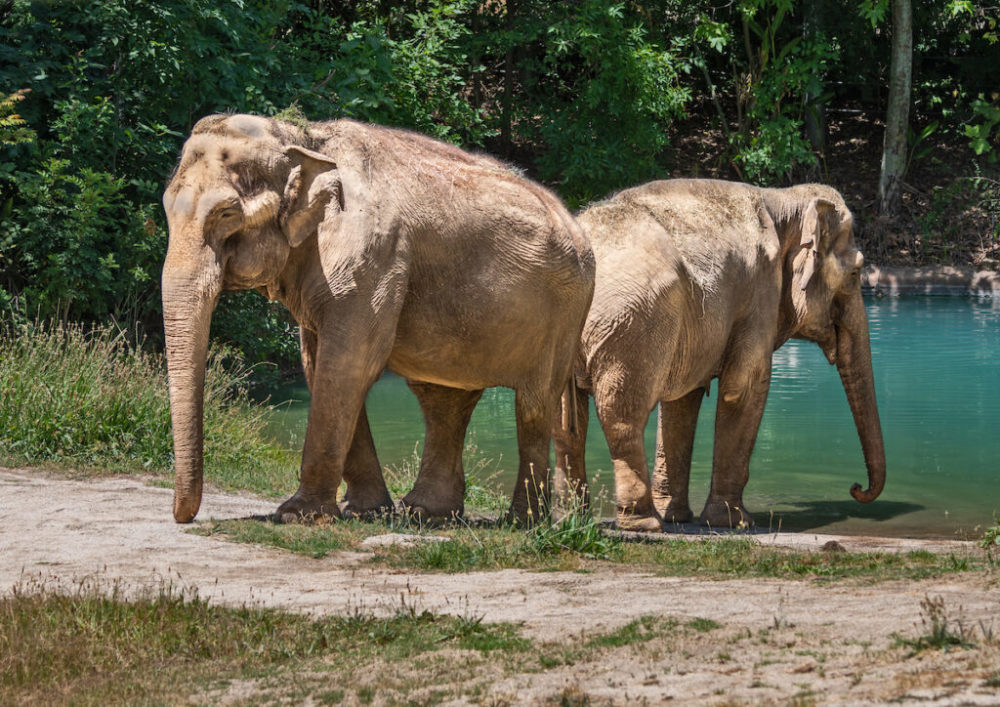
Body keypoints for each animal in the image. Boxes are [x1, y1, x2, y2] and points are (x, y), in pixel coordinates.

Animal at [161, 113, 595, 524]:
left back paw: (522, 522)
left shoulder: (373, 256)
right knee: (444, 400)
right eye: (166, 208)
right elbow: (318, 363)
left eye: (226, 213)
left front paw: (296, 515)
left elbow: (350, 364)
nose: (185, 517)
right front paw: (364, 512)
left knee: (533, 406)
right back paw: (427, 514)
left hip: (565, 312)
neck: (303, 138)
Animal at [552, 179, 885, 531]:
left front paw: (678, 517)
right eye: (856, 274)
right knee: (622, 417)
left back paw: (570, 520)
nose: (856, 487)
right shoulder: (760, 294)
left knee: (565, 425)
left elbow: (683, 400)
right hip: (632, 324)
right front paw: (734, 523)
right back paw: (642, 524)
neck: (783, 199)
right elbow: (743, 388)